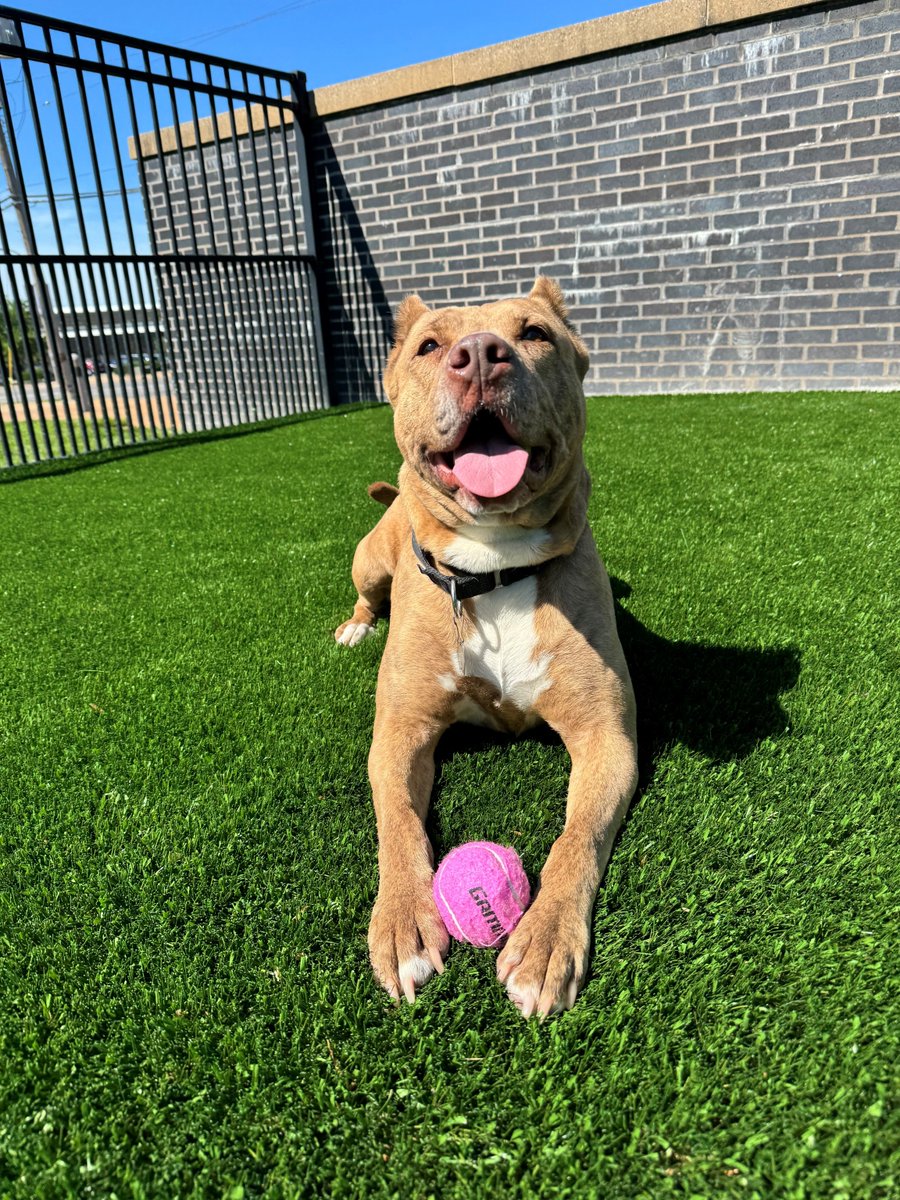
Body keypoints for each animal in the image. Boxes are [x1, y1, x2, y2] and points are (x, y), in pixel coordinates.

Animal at [336, 276, 638, 1017]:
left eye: (534, 333)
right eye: (428, 346)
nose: (479, 354)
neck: (494, 564)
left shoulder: (606, 737)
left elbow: (577, 838)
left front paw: (546, 940)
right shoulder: (401, 730)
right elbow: (399, 822)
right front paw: (402, 921)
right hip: (369, 560)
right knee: (365, 593)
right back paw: (356, 625)